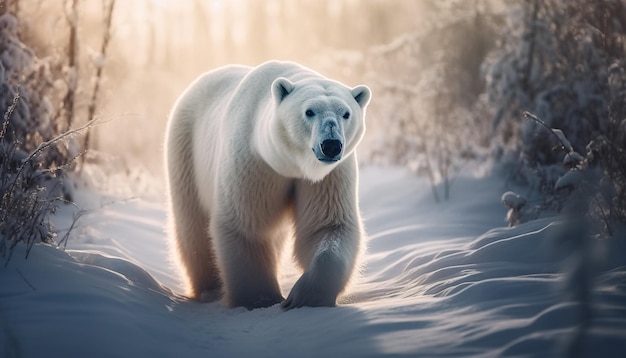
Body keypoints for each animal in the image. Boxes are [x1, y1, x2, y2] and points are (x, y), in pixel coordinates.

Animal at [165, 60, 370, 310]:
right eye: (309, 111)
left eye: (346, 113)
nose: (331, 145)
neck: (289, 163)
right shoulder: (253, 161)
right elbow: (247, 226)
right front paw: (260, 299)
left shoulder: (328, 176)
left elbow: (327, 225)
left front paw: (304, 297)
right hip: (186, 150)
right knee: (193, 226)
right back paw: (209, 289)